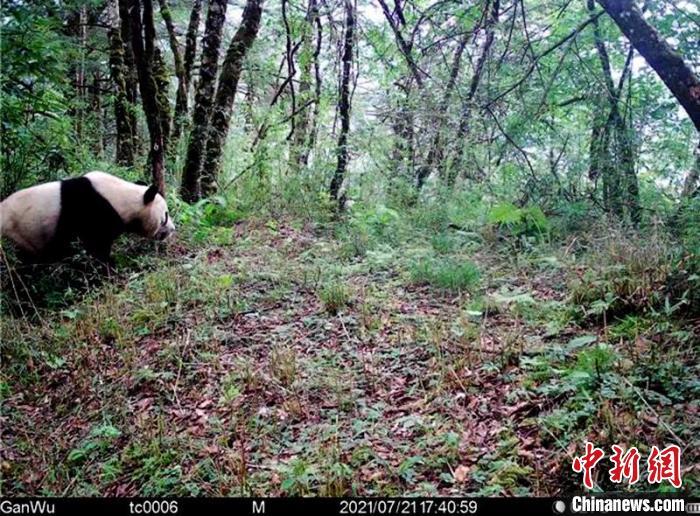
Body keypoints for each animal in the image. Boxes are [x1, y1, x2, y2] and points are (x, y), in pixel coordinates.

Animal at [0, 172, 175, 268]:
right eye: (165, 216)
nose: (173, 229)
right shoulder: (89, 212)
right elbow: (93, 249)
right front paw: (109, 269)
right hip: (16, 234)